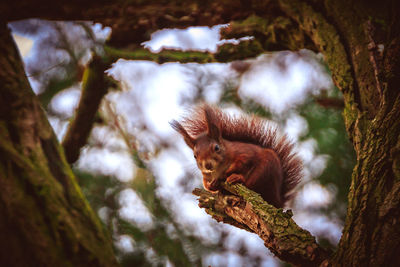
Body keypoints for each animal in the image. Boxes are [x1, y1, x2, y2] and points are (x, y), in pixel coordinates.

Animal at [170, 104, 302, 209]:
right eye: (195, 156)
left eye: (216, 148)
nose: (207, 165)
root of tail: (277, 200)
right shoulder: (206, 175)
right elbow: (206, 184)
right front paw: (211, 185)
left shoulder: (245, 153)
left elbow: (242, 162)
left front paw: (226, 174)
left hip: (264, 170)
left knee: (251, 185)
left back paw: (237, 178)